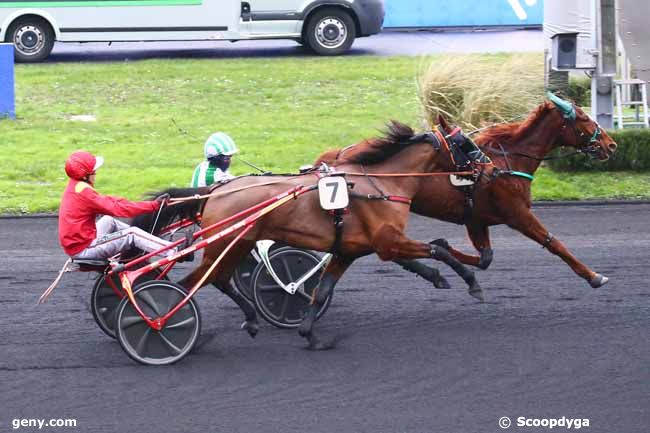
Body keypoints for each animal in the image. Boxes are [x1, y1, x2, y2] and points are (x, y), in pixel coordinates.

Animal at [152, 121, 484, 348]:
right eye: (464, 143)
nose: (486, 166)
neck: (380, 184)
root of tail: (215, 191)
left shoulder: (352, 250)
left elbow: (322, 290)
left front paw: (309, 334)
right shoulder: (388, 242)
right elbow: (439, 250)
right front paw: (471, 284)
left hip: (238, 244)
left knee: (218, 279)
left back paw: (250, 320)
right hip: (225, 244)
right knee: (193, 283)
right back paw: (168, 320)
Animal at [316, 95, 616, 290]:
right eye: (584, 118)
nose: (611, 145)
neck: (505, 162)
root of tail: (337, 155)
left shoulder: (476, 219)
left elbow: (484, 259)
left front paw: (444, 246)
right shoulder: (517, 214)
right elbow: (554, 243)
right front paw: (593, 276)